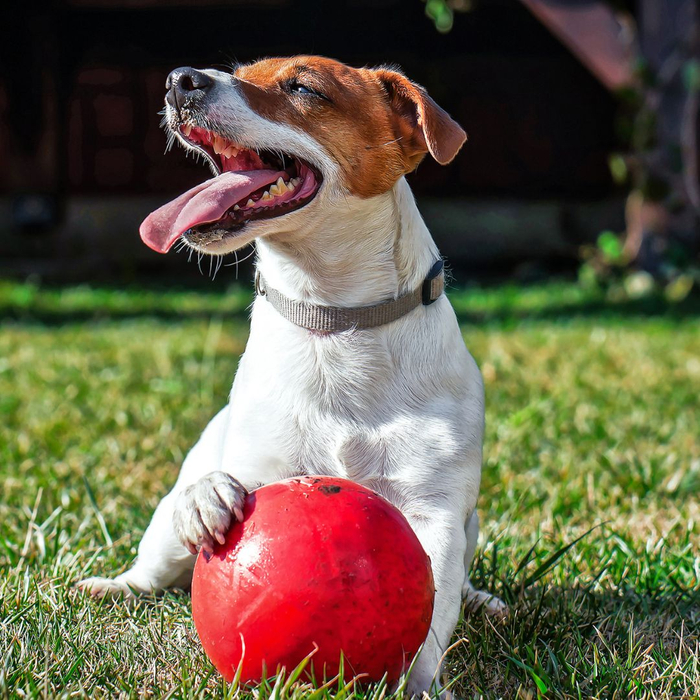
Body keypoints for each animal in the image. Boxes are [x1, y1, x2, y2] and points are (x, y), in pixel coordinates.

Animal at [79, 54, 506, 696]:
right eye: (237, 71)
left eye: (304, 88)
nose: (181, 79)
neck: (334, 319)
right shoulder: (261, 464)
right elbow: (229, 485)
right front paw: (208, 498)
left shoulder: (435, 512)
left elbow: (432, 607)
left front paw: (421, 681)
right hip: (162, 539)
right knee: (150, 574)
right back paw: (111, 583)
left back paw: (482, 599)